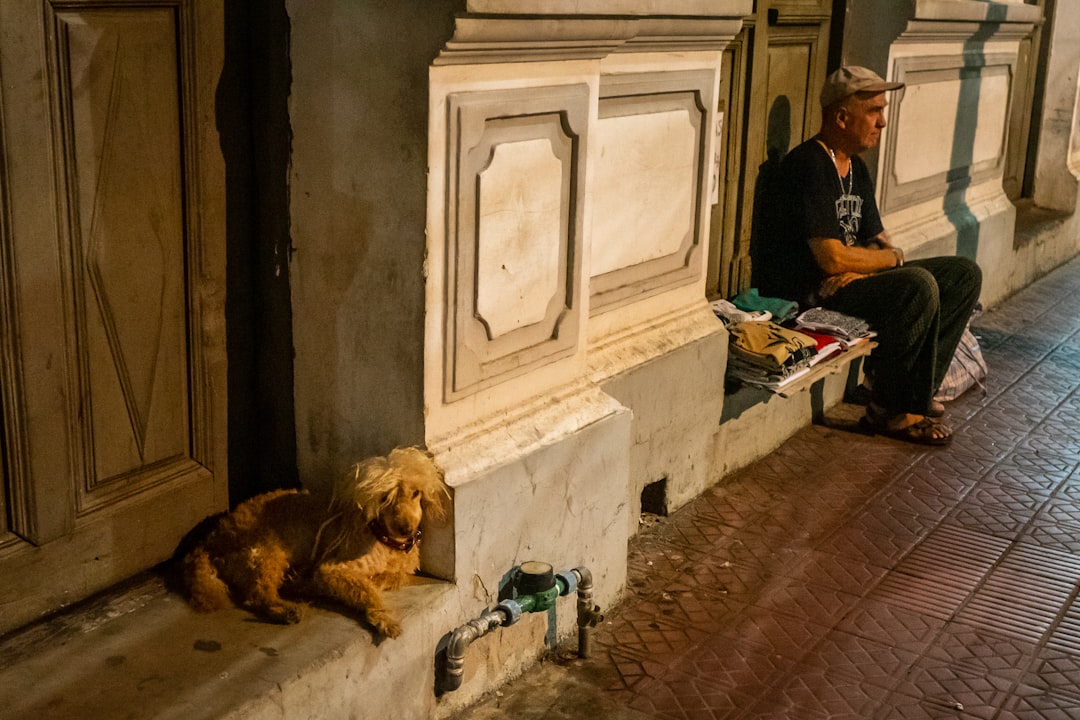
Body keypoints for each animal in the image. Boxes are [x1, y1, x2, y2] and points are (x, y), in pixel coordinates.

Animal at [183, 446, 444, 639]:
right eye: (384, 499)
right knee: (257, 595)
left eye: (415, 493)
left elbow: (387, 579)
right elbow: (366, 591)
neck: (385, 539)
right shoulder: (332, 569)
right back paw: (286, 609)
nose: (407, 529)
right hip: (267, 553)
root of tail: (211, 539)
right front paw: (383, 617)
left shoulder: (397, 571)